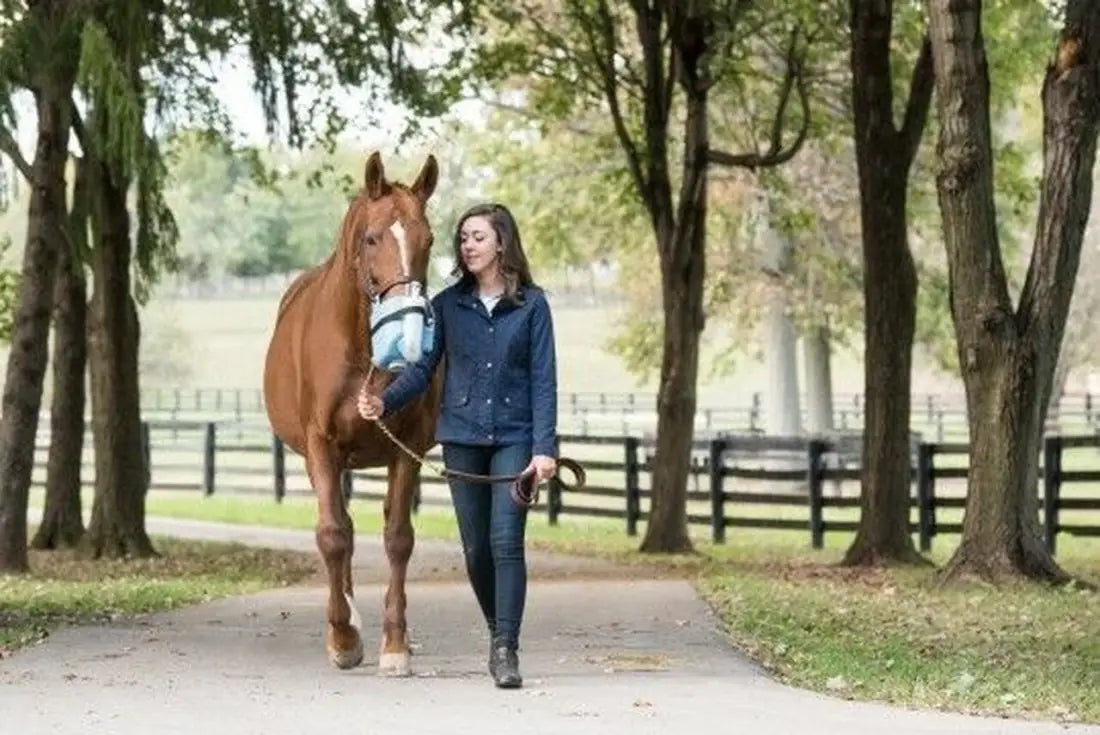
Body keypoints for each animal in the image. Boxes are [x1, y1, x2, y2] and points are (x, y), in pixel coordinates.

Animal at [262, 151, 443, 675]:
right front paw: (343, 638)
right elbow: (333, 536)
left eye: (429, 240)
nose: (407, 333)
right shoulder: (322, 445)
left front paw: (396, 644)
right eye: (372, 238)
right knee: (339, 530)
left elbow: (398, 538)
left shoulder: (407, 448)